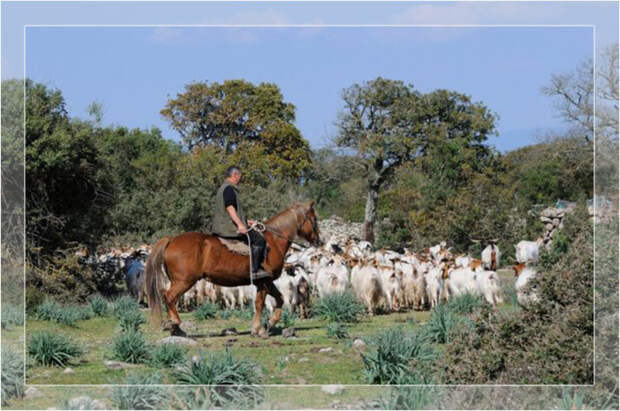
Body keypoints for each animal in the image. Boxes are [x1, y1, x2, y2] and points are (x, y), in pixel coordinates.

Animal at [143, 200, 322, 338]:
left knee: (170, 299)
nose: (319, 240)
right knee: (169, 297)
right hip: (184, 281)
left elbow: (279, 299)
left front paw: (270, 323)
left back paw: (175, 328)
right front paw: (259, 330)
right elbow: (259, 304)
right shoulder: (263, 282)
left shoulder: (266, 282)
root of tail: (171, 240)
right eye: (314, 219)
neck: (273, 240)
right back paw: (175, 323)